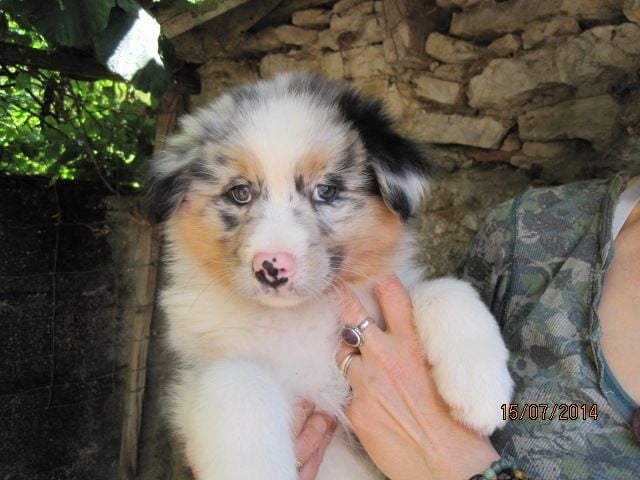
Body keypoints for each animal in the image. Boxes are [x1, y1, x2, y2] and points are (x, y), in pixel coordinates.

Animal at [148, 72, 512, 480]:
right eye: (239, 193)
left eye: (327, 190)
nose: (271, 266)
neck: (299, 317)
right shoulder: (190, 379)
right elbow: (237, 378)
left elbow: (445, 288)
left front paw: (481, 390)